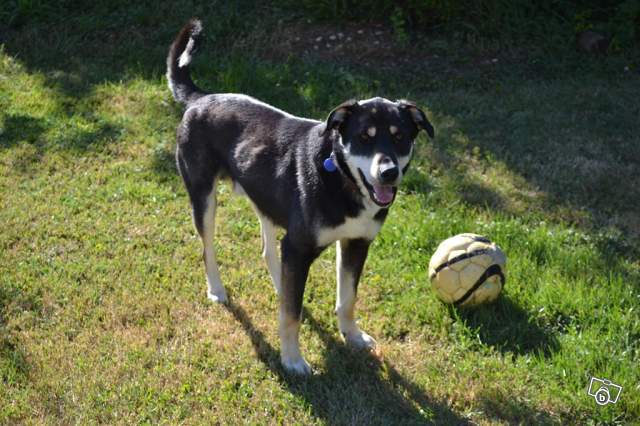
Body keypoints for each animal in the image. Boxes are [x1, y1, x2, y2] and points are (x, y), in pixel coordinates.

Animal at [166, 19, 436, 372]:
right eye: (364, 137)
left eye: (400, 137)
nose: (389, 173)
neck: (341, 177)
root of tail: (202, 98)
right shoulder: (298, 246)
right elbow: (290, 316)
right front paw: (292, 360)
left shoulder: (356, 243)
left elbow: (347, 299)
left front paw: (352, 336)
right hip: (203, 197)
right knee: (207, 248)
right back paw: (217, 289)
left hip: (265, 198)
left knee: (268, 253)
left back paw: (281, 286)